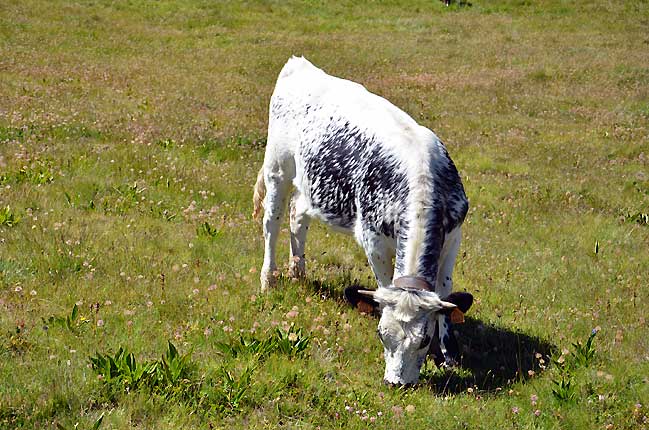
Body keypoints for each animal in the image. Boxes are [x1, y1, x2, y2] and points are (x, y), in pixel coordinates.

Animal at [252, 57, 470, 386]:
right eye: (381, 335)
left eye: (423, 339)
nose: (397, 383)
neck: (421, 179)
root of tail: (300, 65)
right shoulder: (373, 240)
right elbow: (383, 285)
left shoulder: (453, 236)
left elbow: (446, 292)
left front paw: (449, 355)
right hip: (277, 168)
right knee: (272, 223)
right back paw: (269, 280)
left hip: (309, 184)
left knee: (297, 218)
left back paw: (298, 273)